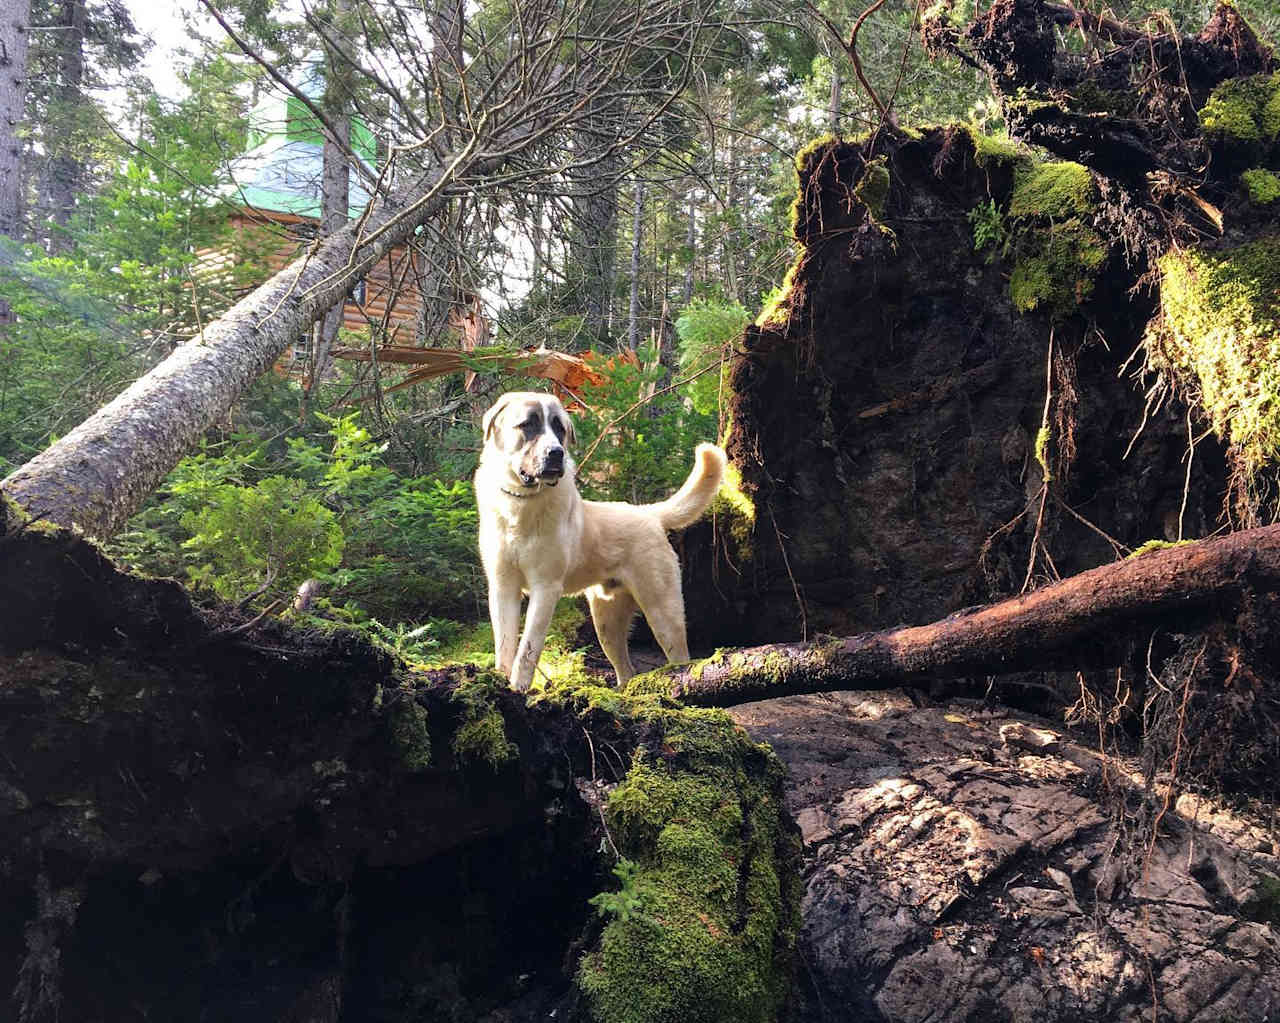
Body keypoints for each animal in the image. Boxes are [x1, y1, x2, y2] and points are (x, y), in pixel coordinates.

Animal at [476, 389, 727, 691]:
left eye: (560, 428)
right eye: (528, 424)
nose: (557, 453)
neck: (520, 503)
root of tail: (648, 512)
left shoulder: (545, 588)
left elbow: (528, 648)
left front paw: (519, 687)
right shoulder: (503, 587)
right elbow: (504, 644)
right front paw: (500, 681)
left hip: (663, 613)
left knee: (680, 658)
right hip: (606, 622)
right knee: (626, 669)